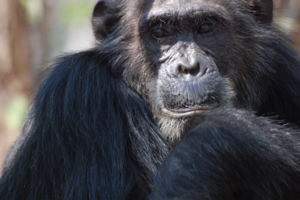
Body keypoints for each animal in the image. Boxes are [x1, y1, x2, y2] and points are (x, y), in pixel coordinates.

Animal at [0, 0, 300, 199]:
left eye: (206, 27)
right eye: (160, 33)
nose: (189, 67)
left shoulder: (284, 68)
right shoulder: (77, 94)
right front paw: (219, 142)